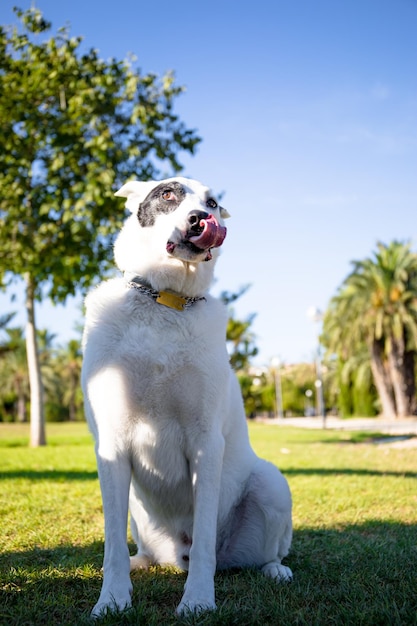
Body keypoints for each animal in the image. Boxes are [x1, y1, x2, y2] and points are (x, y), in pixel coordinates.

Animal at [79, 177, 290, 616]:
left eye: (212, 203)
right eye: (168, 194)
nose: (199, 218)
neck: (165, 300)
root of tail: (180, 554)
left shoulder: (205, 442)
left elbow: (206, 535)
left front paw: (197, 601)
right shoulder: (111, 445)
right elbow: (111, 547)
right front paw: (112, 599)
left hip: (273, 484)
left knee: (262, 553)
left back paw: (274, 569)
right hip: (138, 514)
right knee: (139, 550)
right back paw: (140, 562)